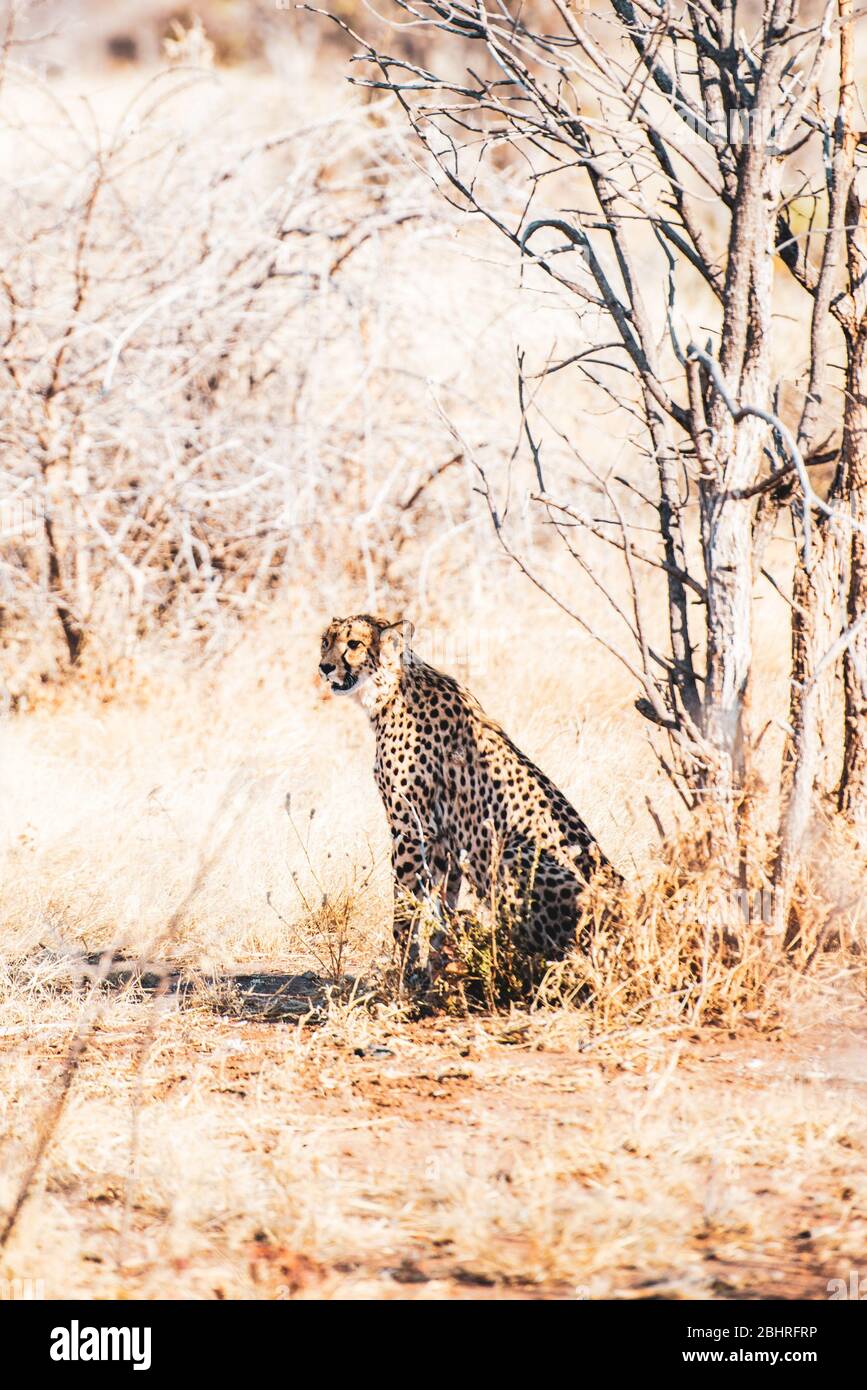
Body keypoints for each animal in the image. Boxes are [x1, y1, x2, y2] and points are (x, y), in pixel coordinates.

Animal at [319, 614, 616, 961]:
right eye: (326, 641)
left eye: (354, 644)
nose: (325, 667)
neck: (390, 691)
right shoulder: (445, 837)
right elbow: (442, 905)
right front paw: (437, 960)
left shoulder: (412, 828)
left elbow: (405, 908)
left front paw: (403, 967)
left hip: (512, 851)